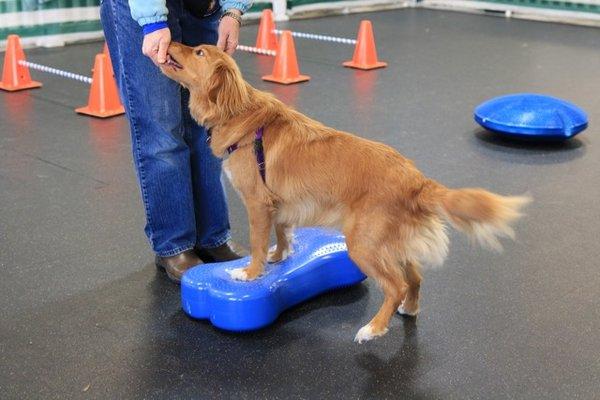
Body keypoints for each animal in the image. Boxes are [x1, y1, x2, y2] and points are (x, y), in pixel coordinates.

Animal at [159, 43, 528, 344]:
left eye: (199, 51)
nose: (171, 41)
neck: (239, 111)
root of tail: (416, 179)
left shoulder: (257, 203)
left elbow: (259, 243)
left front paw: (251, 273)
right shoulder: (280, 204)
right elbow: (282, 231)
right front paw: (281, 255)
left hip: (363, 243)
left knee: (395, 286)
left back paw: (374, 329)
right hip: (390, 243)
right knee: (414, 278)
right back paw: (409, 309)